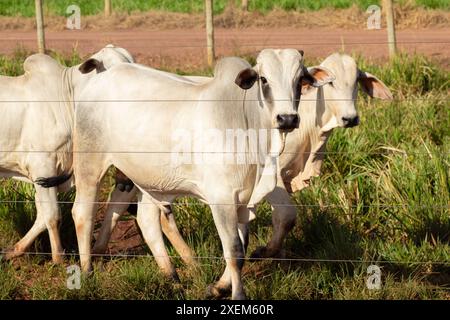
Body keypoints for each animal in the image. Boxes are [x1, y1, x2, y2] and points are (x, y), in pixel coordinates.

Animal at [38, 48, 332, 298]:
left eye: (300, 80)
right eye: (263, 79)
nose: (287, 119)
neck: (246, 125)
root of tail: (100, 79)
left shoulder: (244, 200)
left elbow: (242, 244)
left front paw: (218, 287)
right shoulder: (222, 200)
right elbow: (235, 251)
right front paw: (237, 294)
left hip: (144, 178)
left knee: (147, 219)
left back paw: (171, 275)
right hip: (90, 163)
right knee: (82, 213)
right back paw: (87, 270)